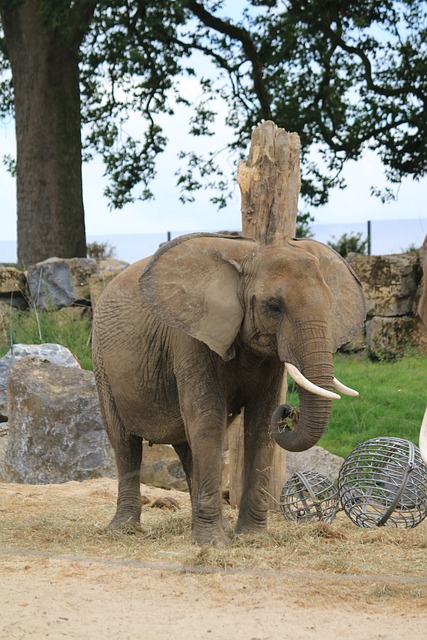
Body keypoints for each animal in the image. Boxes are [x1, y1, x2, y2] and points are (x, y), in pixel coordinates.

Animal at [93, 232, 368, 544]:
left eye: (331, 306)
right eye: (274, 306)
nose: (288, 412)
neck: (247, 257)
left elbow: (260, 424)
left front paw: (251, 538)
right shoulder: (192, 337)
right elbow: (208, 420)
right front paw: (214, 544)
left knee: (187, 448)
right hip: (102, 365)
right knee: (125, 442)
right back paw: (125, 529)